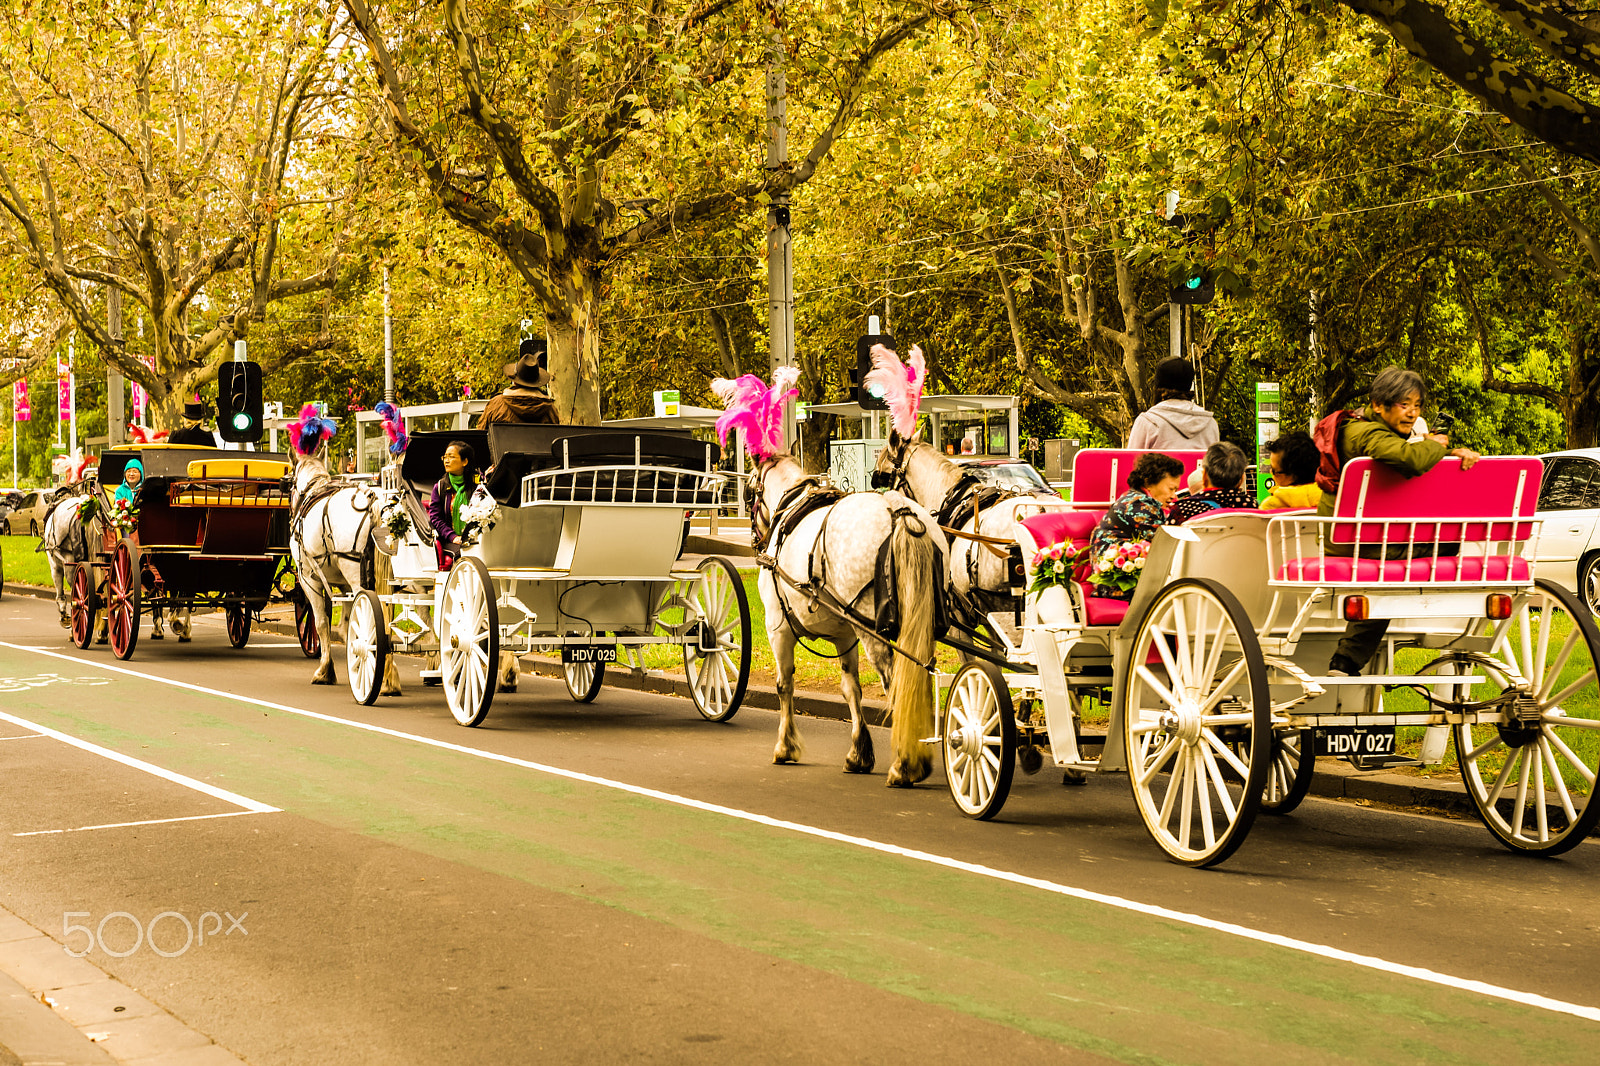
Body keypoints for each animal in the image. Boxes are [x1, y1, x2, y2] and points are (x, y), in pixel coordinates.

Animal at [752, 451, 947, 784]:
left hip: (874, 631)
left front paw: (785, 746)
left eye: (751, 489)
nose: (755, 538)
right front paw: (859, 752)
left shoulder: (777, 628)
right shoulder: (845, 634)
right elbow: (851, 689)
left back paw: (904, 764)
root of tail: (899, 510)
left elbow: (784, 685)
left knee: (895, 685)